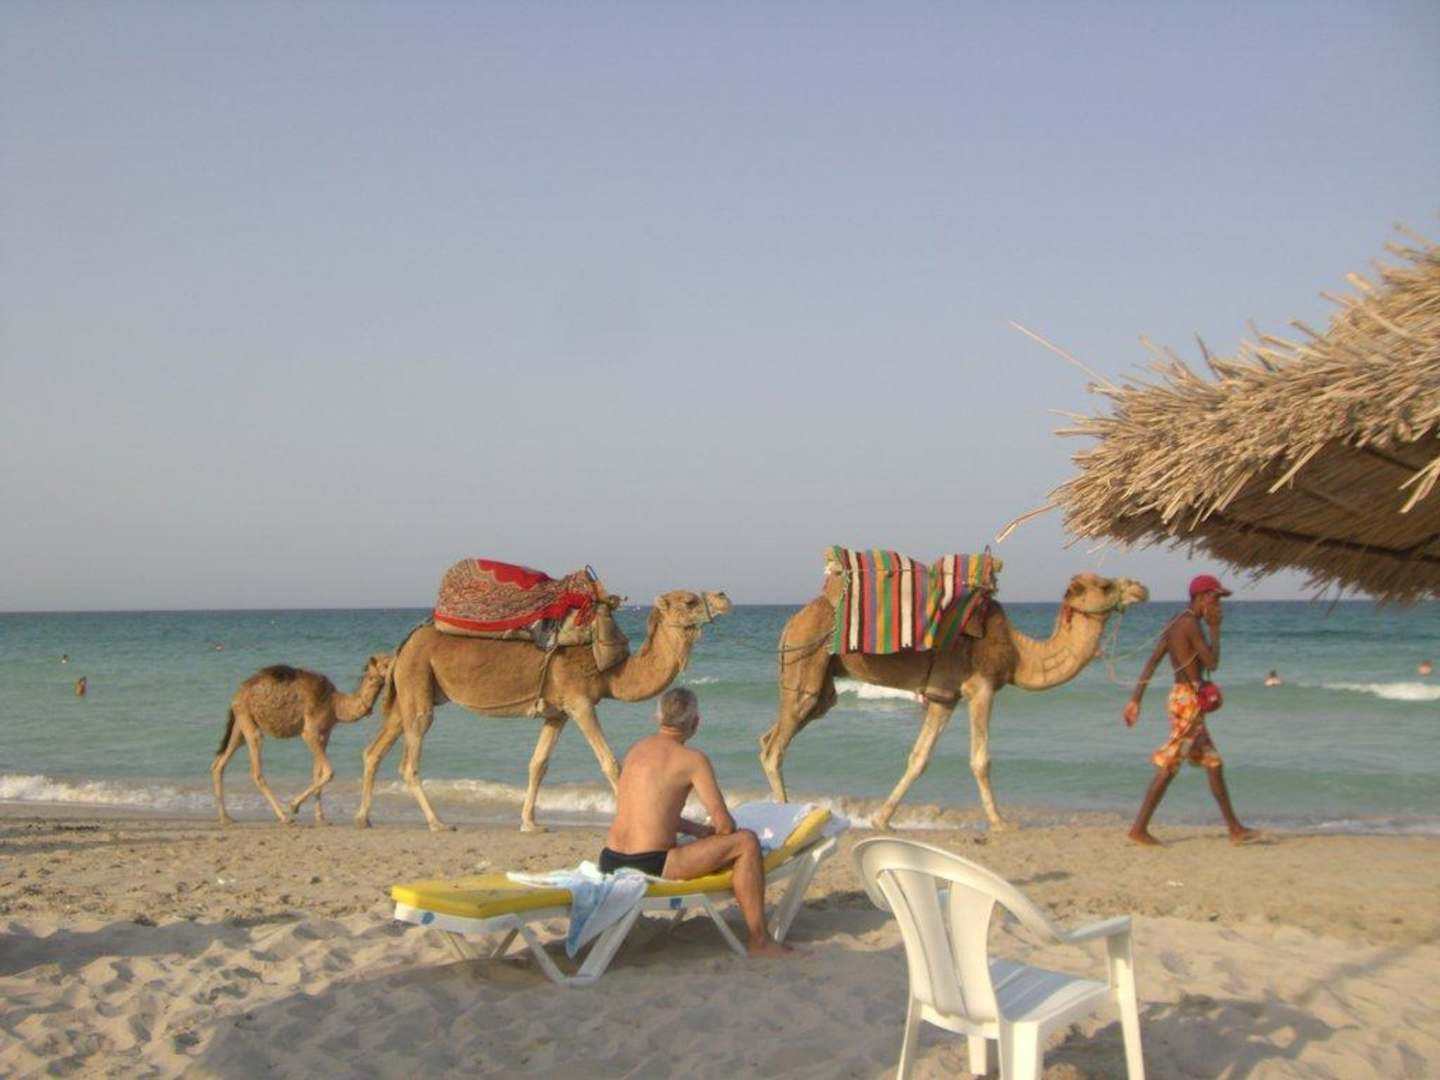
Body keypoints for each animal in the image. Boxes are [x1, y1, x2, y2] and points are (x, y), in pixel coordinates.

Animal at [212, 653, 393, 826]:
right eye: (385, 663)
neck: (335, 705)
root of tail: (237, 694)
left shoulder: (325, 734)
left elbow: (317, 773)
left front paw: (321, 818)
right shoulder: (309, 731)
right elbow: (329, 771)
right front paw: (294, 806)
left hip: (240, 725)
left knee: (219, 764)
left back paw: (225, 818)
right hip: (248, 720)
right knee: (256, 769)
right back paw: (284, 817)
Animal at [356, 589, 732, 832]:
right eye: (689, 600)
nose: (723, 597)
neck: (611, 670)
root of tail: (404, 643)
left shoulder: (557, 712)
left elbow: (538, 765)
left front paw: (530, 823)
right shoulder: (580, 703)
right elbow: (610, 763)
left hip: (410, 691)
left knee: (374, 750)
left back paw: (363, 817)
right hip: (418, 684)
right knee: (408, 762)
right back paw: (437, 822)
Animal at [760, 572, 1148, 830]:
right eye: (1105, 586)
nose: (1140, 587)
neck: (1019, 653)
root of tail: (792, 620)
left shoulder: (943, 697)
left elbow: (918, 759)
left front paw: (882, 819)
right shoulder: (981, 687)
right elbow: (981, 759)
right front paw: (999, 822)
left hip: (821, 686)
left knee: (772, 736)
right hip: (807, 663)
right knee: (775, 746)